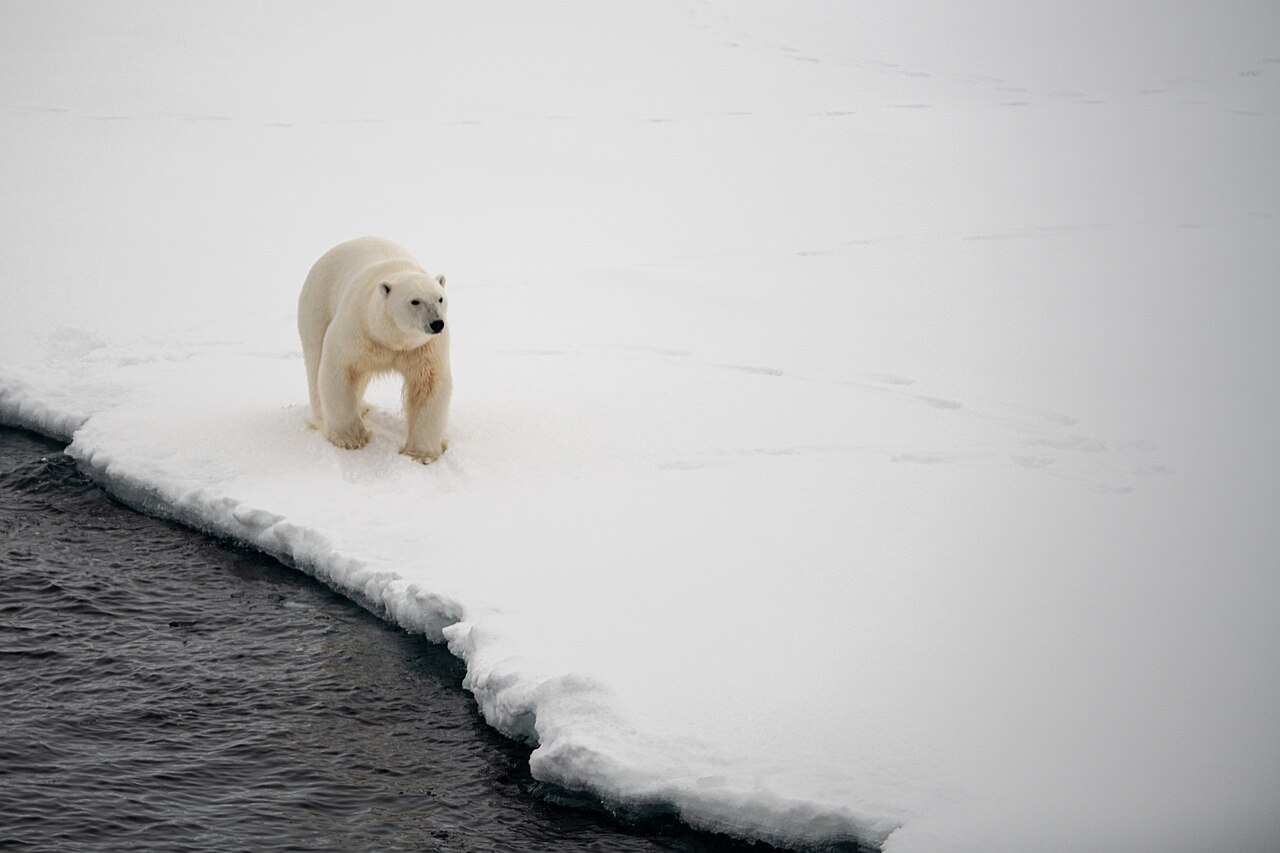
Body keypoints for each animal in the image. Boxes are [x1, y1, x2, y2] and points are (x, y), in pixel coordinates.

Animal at [296, 235, 453, 461]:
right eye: (415, 301)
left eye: (440, 298)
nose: (437, 323)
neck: (392, 340)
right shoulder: (358, 328)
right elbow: (339, 368)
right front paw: (350, 439)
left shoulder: (423, 347)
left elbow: (429, 384)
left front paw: (422, 454)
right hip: (317, 303)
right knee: (315, 359)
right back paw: (322, 419)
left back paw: (362, 408)